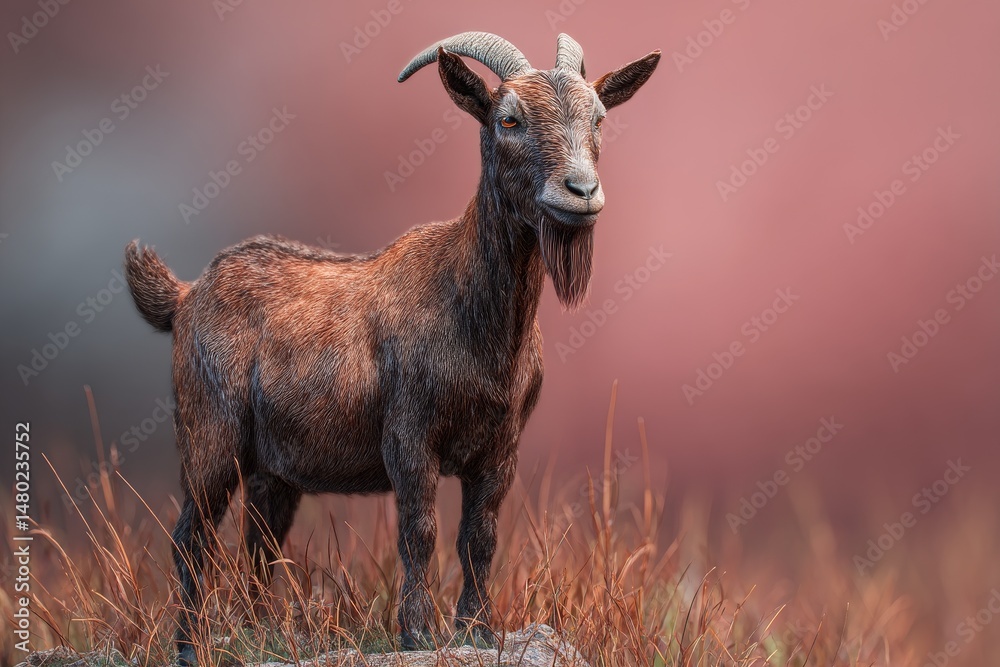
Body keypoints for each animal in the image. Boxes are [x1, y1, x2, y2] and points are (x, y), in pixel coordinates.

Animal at [124, 32, 659, 665]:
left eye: (599, 118)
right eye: (508, 119)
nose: (581, 192)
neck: (475, 318)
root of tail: (183, 296)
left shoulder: (501, 446)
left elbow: (480, 537)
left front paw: (477, 629)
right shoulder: (410, 433)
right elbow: (420, 532)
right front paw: (417, 632)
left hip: (272, 468)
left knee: (260, 542)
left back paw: (259, 634)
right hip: (210, 433)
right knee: (193, 534)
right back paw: (190, 645)